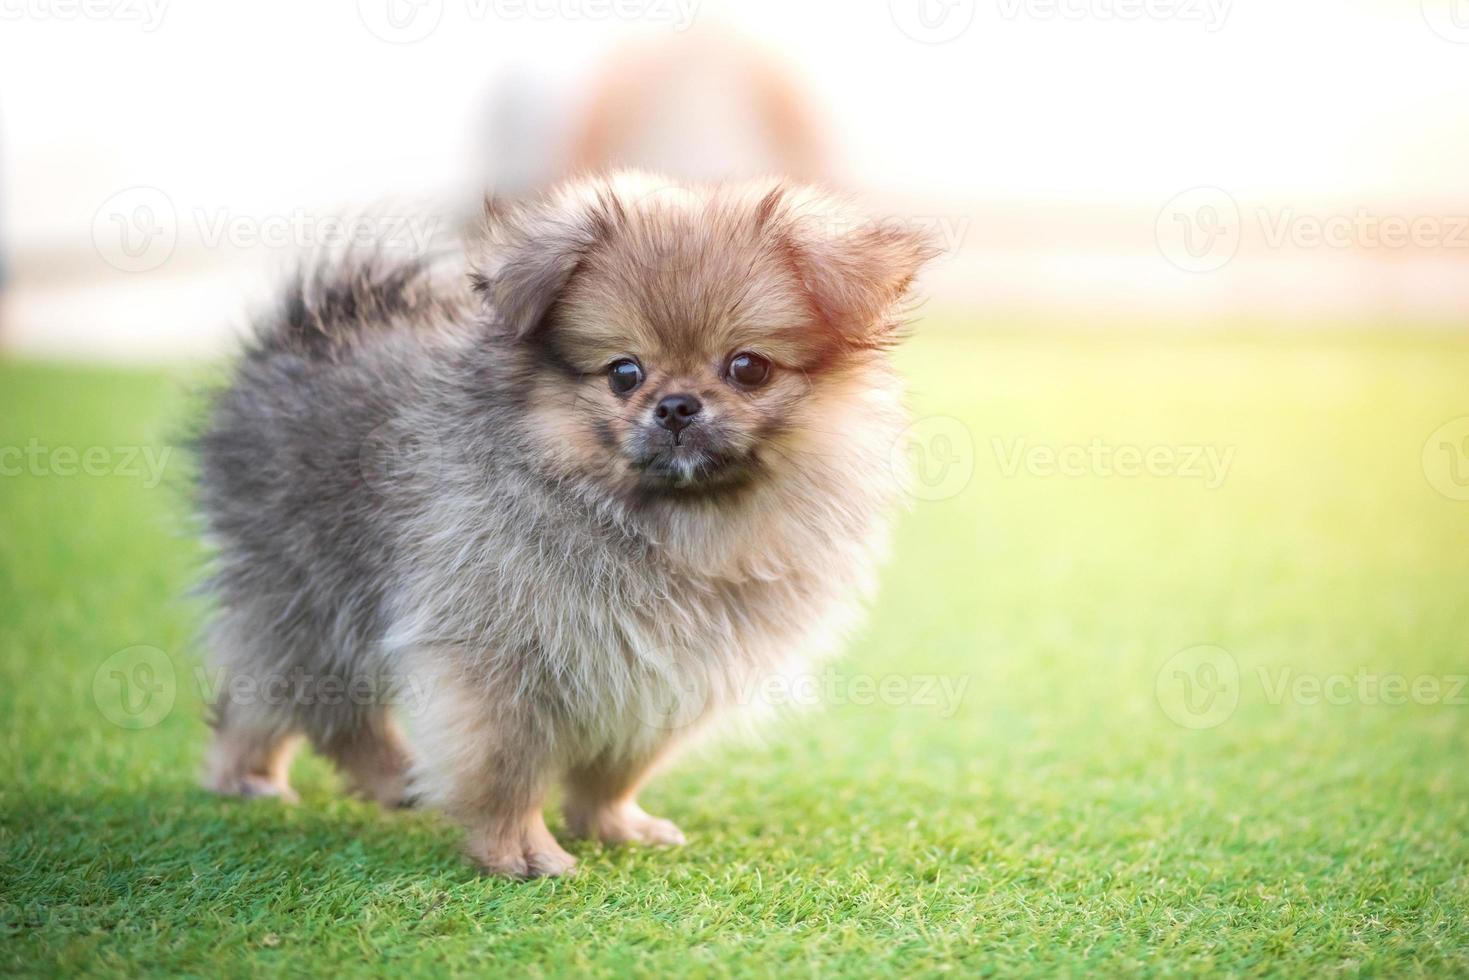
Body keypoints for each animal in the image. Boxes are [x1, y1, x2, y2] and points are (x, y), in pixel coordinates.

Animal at [195, 172, 934, 875]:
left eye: (747, 367)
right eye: (623, 372)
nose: (676, 405)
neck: (663, 525)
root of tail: (300, 337)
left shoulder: (661, 674)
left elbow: (616, 768)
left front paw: (615, 825)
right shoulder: (500, 662)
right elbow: (507, 771)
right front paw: (517, 851)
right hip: (312, 590)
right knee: (306, 697)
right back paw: (297, 776)